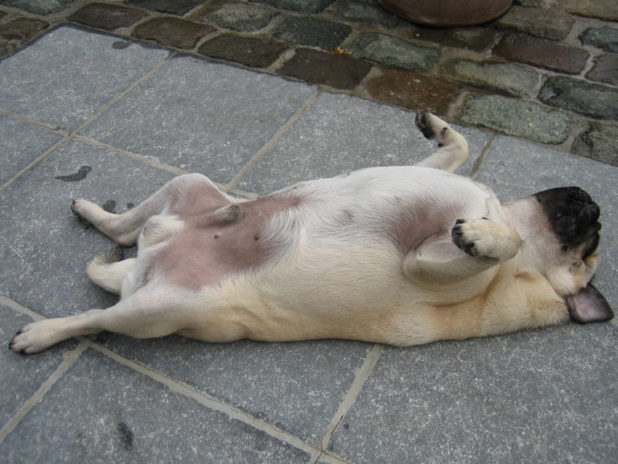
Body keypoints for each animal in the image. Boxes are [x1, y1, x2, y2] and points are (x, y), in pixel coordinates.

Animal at [10, 112, 613, 354]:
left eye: (586, 251)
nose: (596, 205)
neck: (498, 210)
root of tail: (141, 269)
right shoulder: (442, 180)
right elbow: (456, 148)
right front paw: (439, 127)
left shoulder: (424, 262)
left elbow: (500, 244)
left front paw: (485, 239)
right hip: (189, 187)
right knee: (129, 225)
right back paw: (93, 212)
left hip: (156, 310)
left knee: (95, 319)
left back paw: (42, 332)